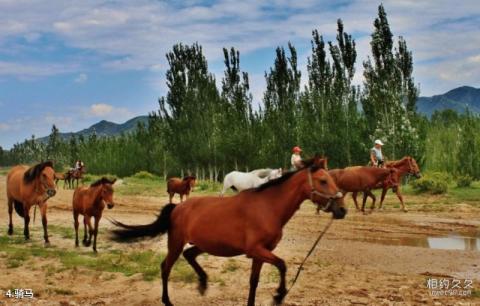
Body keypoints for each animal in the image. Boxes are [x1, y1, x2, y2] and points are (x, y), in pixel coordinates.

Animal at [110, 158, 346, 306]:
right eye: (323, 181)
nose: (342, 210)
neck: (268, 207)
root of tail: (177, 207)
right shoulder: (256, 250)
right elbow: (282, 265)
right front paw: (279, 296)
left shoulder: (261, 253)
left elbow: (254, 282)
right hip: (176, 242)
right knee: (166, 267)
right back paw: (168, 300)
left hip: (203, 244)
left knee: (189, 255)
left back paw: (203, 283)